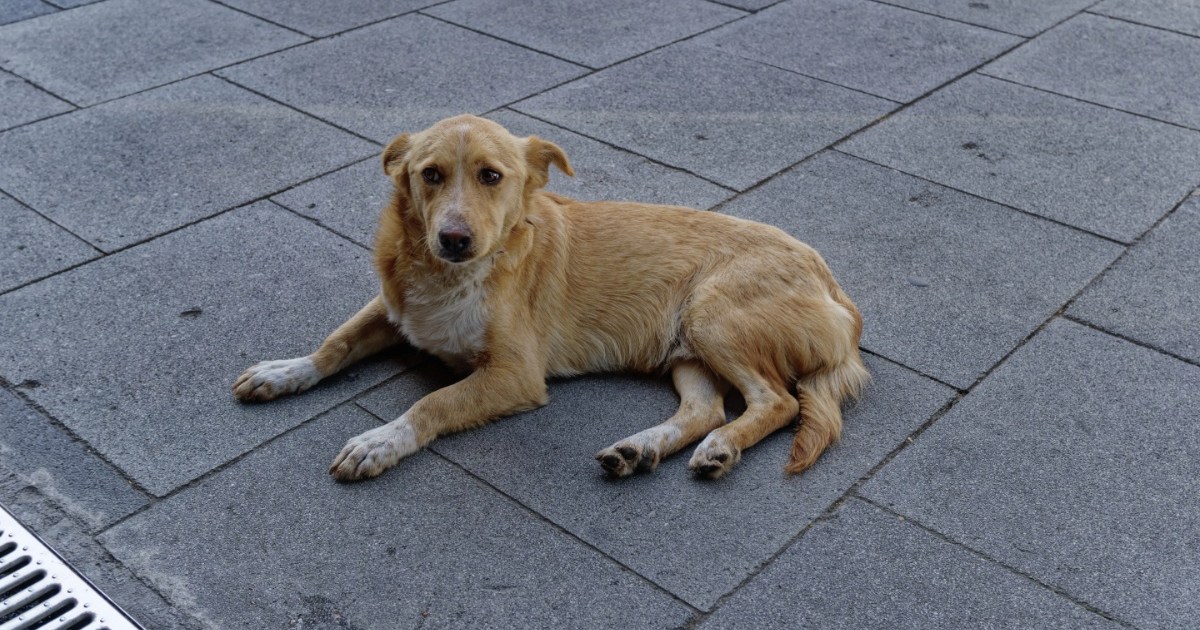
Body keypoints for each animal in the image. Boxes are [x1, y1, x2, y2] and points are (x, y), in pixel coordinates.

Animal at [229, 112, 868, 480]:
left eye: (491, 176)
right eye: (430, 174)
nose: (453, 239)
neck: (452, 276)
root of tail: (836, 288)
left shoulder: (514, 374)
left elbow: (432, 404)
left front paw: (381, 441)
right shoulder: (393, 307)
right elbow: (334, 344)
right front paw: (285, 371)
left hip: (713, 316)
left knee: (777, 402)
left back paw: (721, 448)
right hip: (685, 349)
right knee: (705, 409)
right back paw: (640, 449)